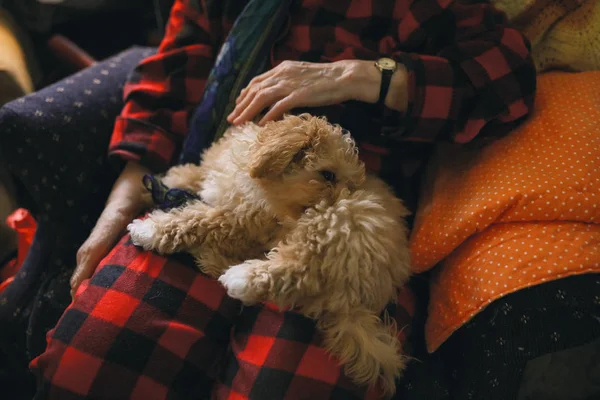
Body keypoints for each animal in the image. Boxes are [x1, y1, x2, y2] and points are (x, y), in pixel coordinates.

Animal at [127, 114, 412, 396]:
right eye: (328, 174)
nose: (343, 194)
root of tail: (356, 299)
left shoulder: (240, 222)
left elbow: (197, 221)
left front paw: (151, 229)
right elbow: (197, 177)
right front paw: (168, 181)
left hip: (335, 225)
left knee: (297, 271)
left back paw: (241, 277)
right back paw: (214, 260)